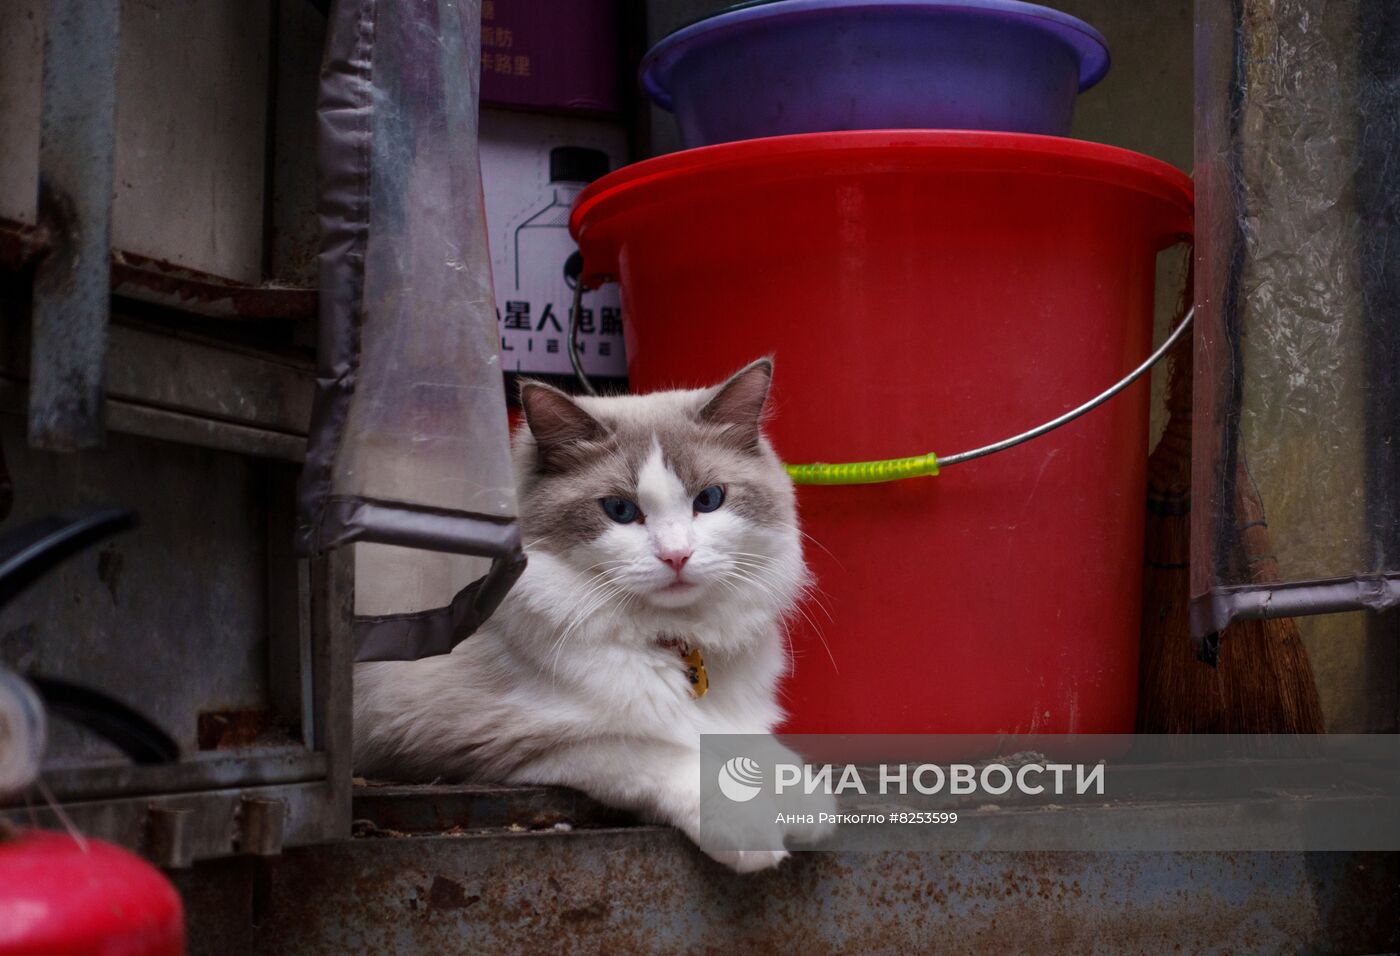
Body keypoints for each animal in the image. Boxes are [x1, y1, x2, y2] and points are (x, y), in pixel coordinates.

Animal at [352, 363, 828, 873]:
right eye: (620, 510)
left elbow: (760, 751)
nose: (677, 556)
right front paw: (752, 826)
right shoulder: (494, 738)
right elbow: (666, 754)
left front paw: (806, 801)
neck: (674, 641)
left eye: (709, 500)